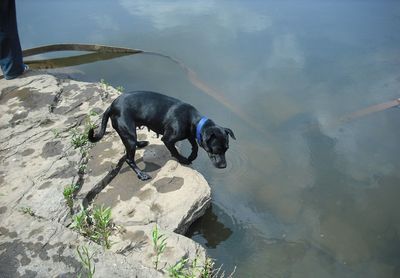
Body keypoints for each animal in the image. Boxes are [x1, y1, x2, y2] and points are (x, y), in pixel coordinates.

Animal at [88, 91, 234, 180]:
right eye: (216, 150)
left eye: (227, 149)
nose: (224, 166)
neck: (193, 120)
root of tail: (111, 106)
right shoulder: (168, 139)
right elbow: (175, 151)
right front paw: (183, 159)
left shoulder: (190, 134)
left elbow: (195, 145)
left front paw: (192, 155)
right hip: (128, 133)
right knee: (129, 159)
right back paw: (141, 174)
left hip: (129, 133)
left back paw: (141, 143)